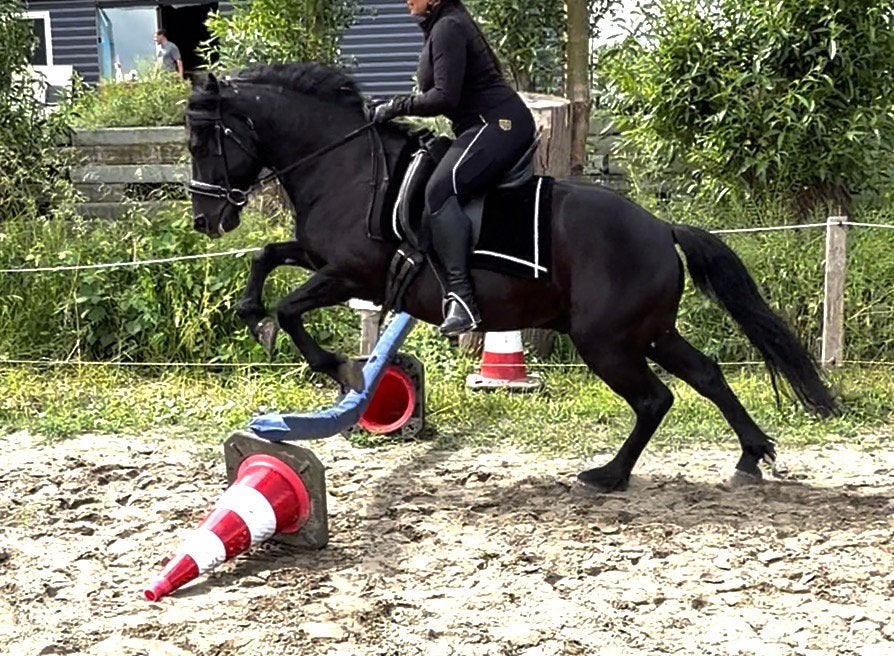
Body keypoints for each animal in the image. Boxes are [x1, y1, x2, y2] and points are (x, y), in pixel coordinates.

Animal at [185, 63, 837, 492]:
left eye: (202, 140)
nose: (205, 220)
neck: (342, 165)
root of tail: (660, 228)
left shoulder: (351, 274)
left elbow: (292, 307)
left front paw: (339, 368)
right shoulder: (323, 260)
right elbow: (266, 256)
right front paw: (253, 317)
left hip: (607, 340)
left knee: (656, 397)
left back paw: (609, 476)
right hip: (647, 331)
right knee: (704, 375)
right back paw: (749, 455)